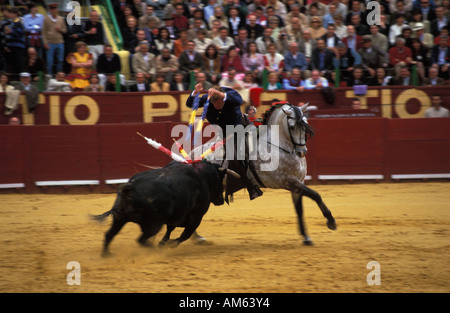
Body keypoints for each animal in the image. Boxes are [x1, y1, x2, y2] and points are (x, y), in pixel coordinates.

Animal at [92, 161, 237, 256]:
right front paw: (169, 244)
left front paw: (163, 243)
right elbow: (185, 234)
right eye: (220, 180)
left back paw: (106, 254)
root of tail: (131, 187)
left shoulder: (176, 216)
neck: (203, 177)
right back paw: (154, 250)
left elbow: (170, 230)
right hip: (153, 225)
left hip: (119, 219)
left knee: (109, 234)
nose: (221, 200)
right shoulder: (196, 216)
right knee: (141, 240)